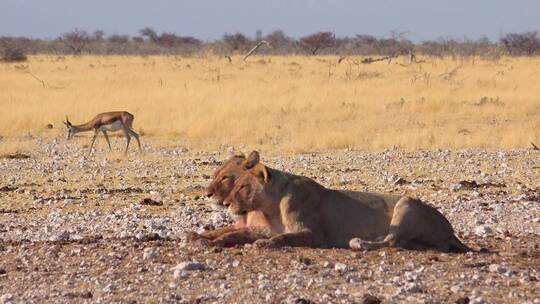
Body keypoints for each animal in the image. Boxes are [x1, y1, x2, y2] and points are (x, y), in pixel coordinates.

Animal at [219, 152, 472, 252]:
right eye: (235, 184)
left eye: (242, 187)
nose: (226, 204)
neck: (271, 207)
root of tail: (450, 230)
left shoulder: (313, 234)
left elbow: (284, 238)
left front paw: (262, 244)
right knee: (399, 242)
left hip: (407, 203)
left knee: (391, 240)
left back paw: (360, 242)